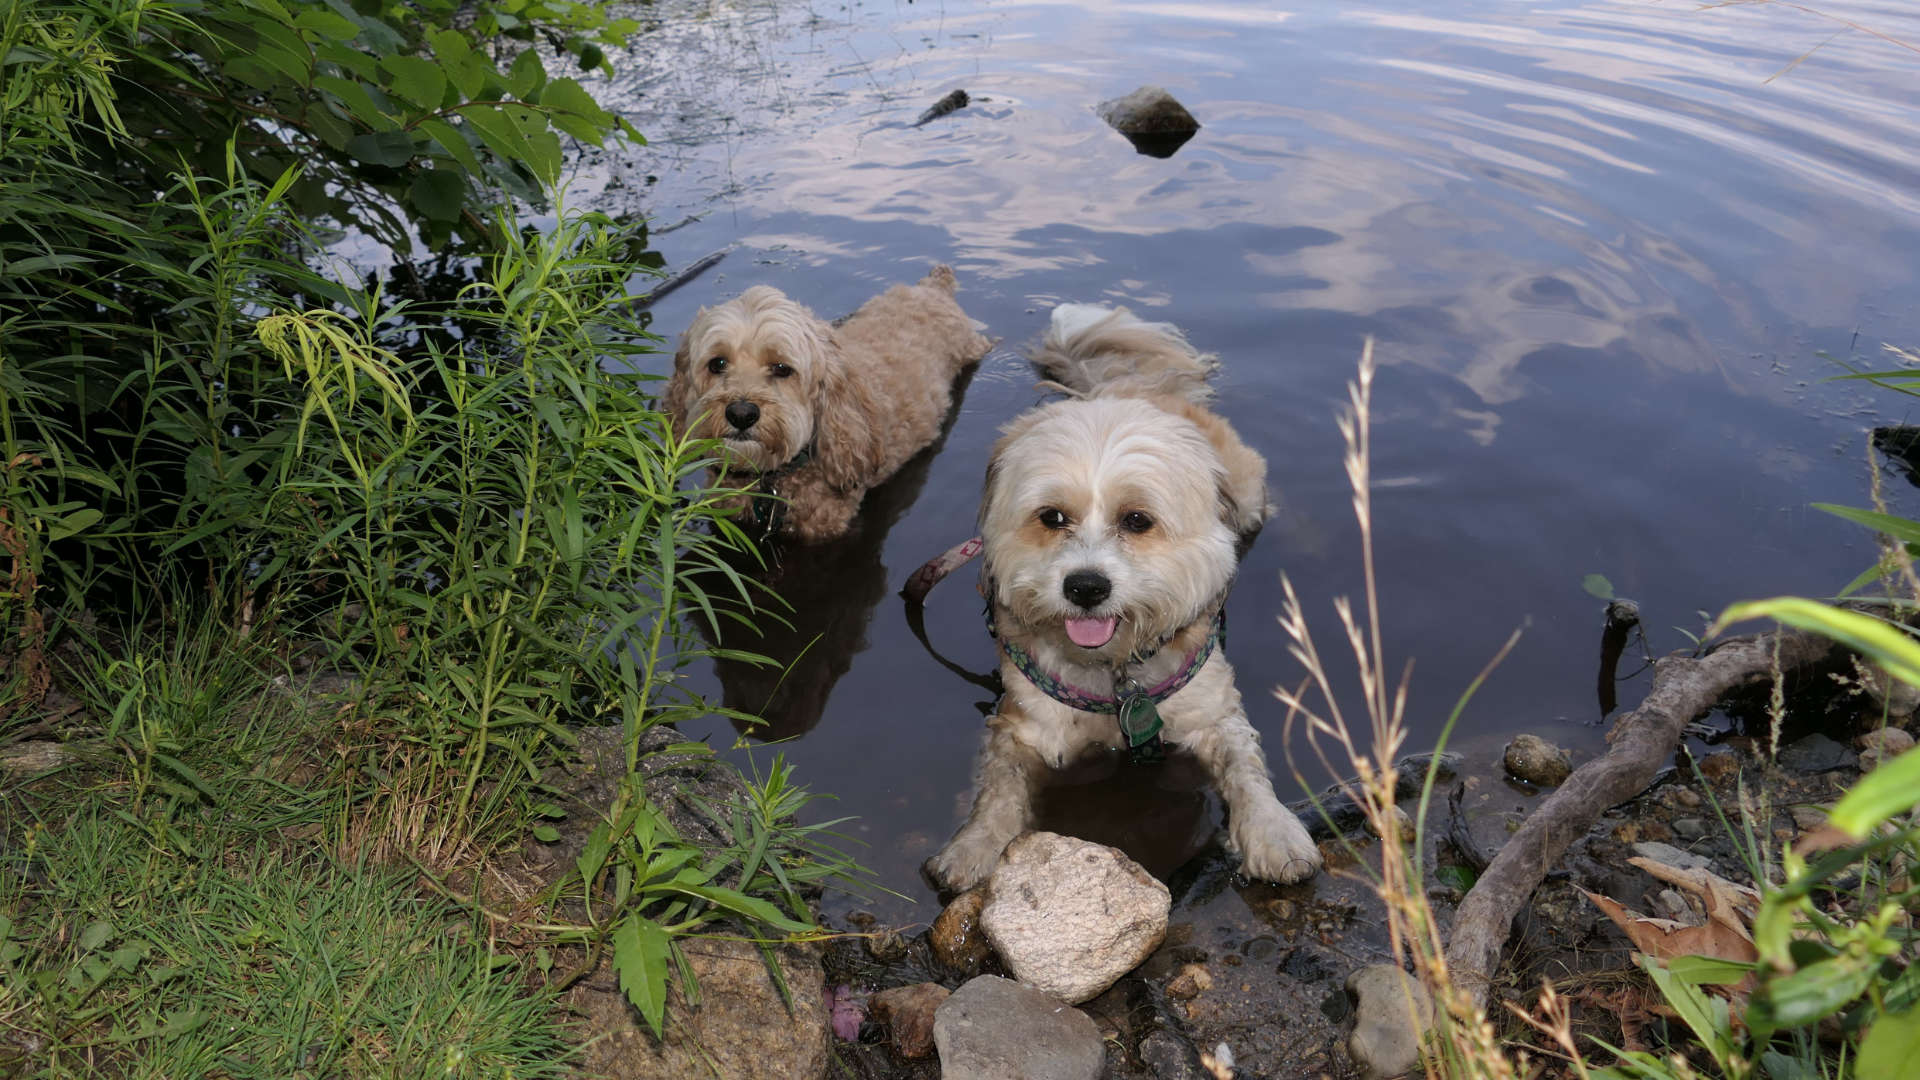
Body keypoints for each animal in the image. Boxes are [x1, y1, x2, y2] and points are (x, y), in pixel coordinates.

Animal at [925, 305, 1320, 891]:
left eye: (1137, 520)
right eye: (1051, 517)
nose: (1085, 587)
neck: (1116, 681)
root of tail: (1124, 386)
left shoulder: (1213, 708)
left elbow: (1246, 768)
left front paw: (1274, 833)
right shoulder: (1026, 725)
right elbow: (998, 787)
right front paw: (975, 844)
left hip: (1248, 490)